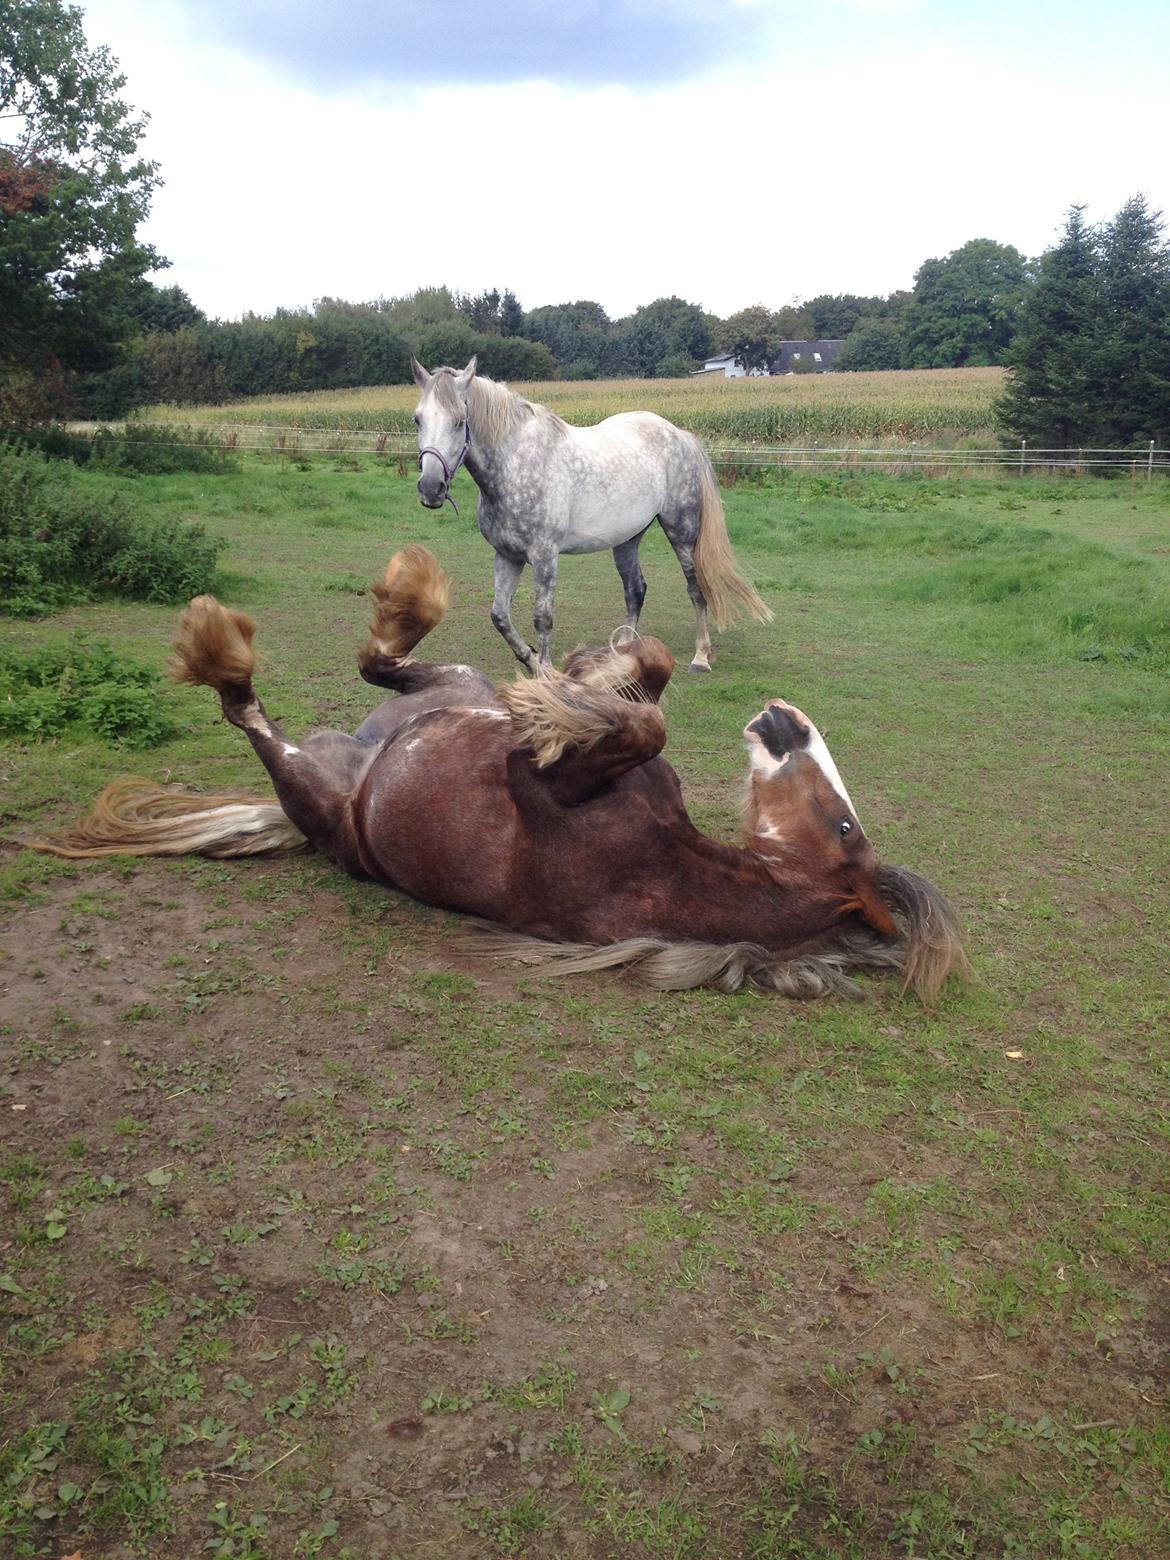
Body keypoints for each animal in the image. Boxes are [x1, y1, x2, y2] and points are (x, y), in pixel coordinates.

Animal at [39, 549, 973, 1004]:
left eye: (847, 829)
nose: (790, 718)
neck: (671, 862)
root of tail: (360, 758)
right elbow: (654, 676)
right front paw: (587, 674)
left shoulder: (537, 788)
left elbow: (644, 721)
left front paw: (564, 699)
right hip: (453, 686)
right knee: (384, 658)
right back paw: (420, 597)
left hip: (313, 790)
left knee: (250, 708)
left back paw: (215, 643)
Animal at [414, 357, 780, 673]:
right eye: (417, 419)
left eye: (460, 421)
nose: (431, 488)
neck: (515, 465)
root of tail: (680, 435)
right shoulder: (507, 555)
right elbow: (499, 616)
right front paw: (530, 659)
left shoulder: (544, 556)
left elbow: (542, 617)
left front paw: (544, 670)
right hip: (628, 538)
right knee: (635, 589)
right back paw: (624, 649)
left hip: (682, 531)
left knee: (695, 589)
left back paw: (701, 656)